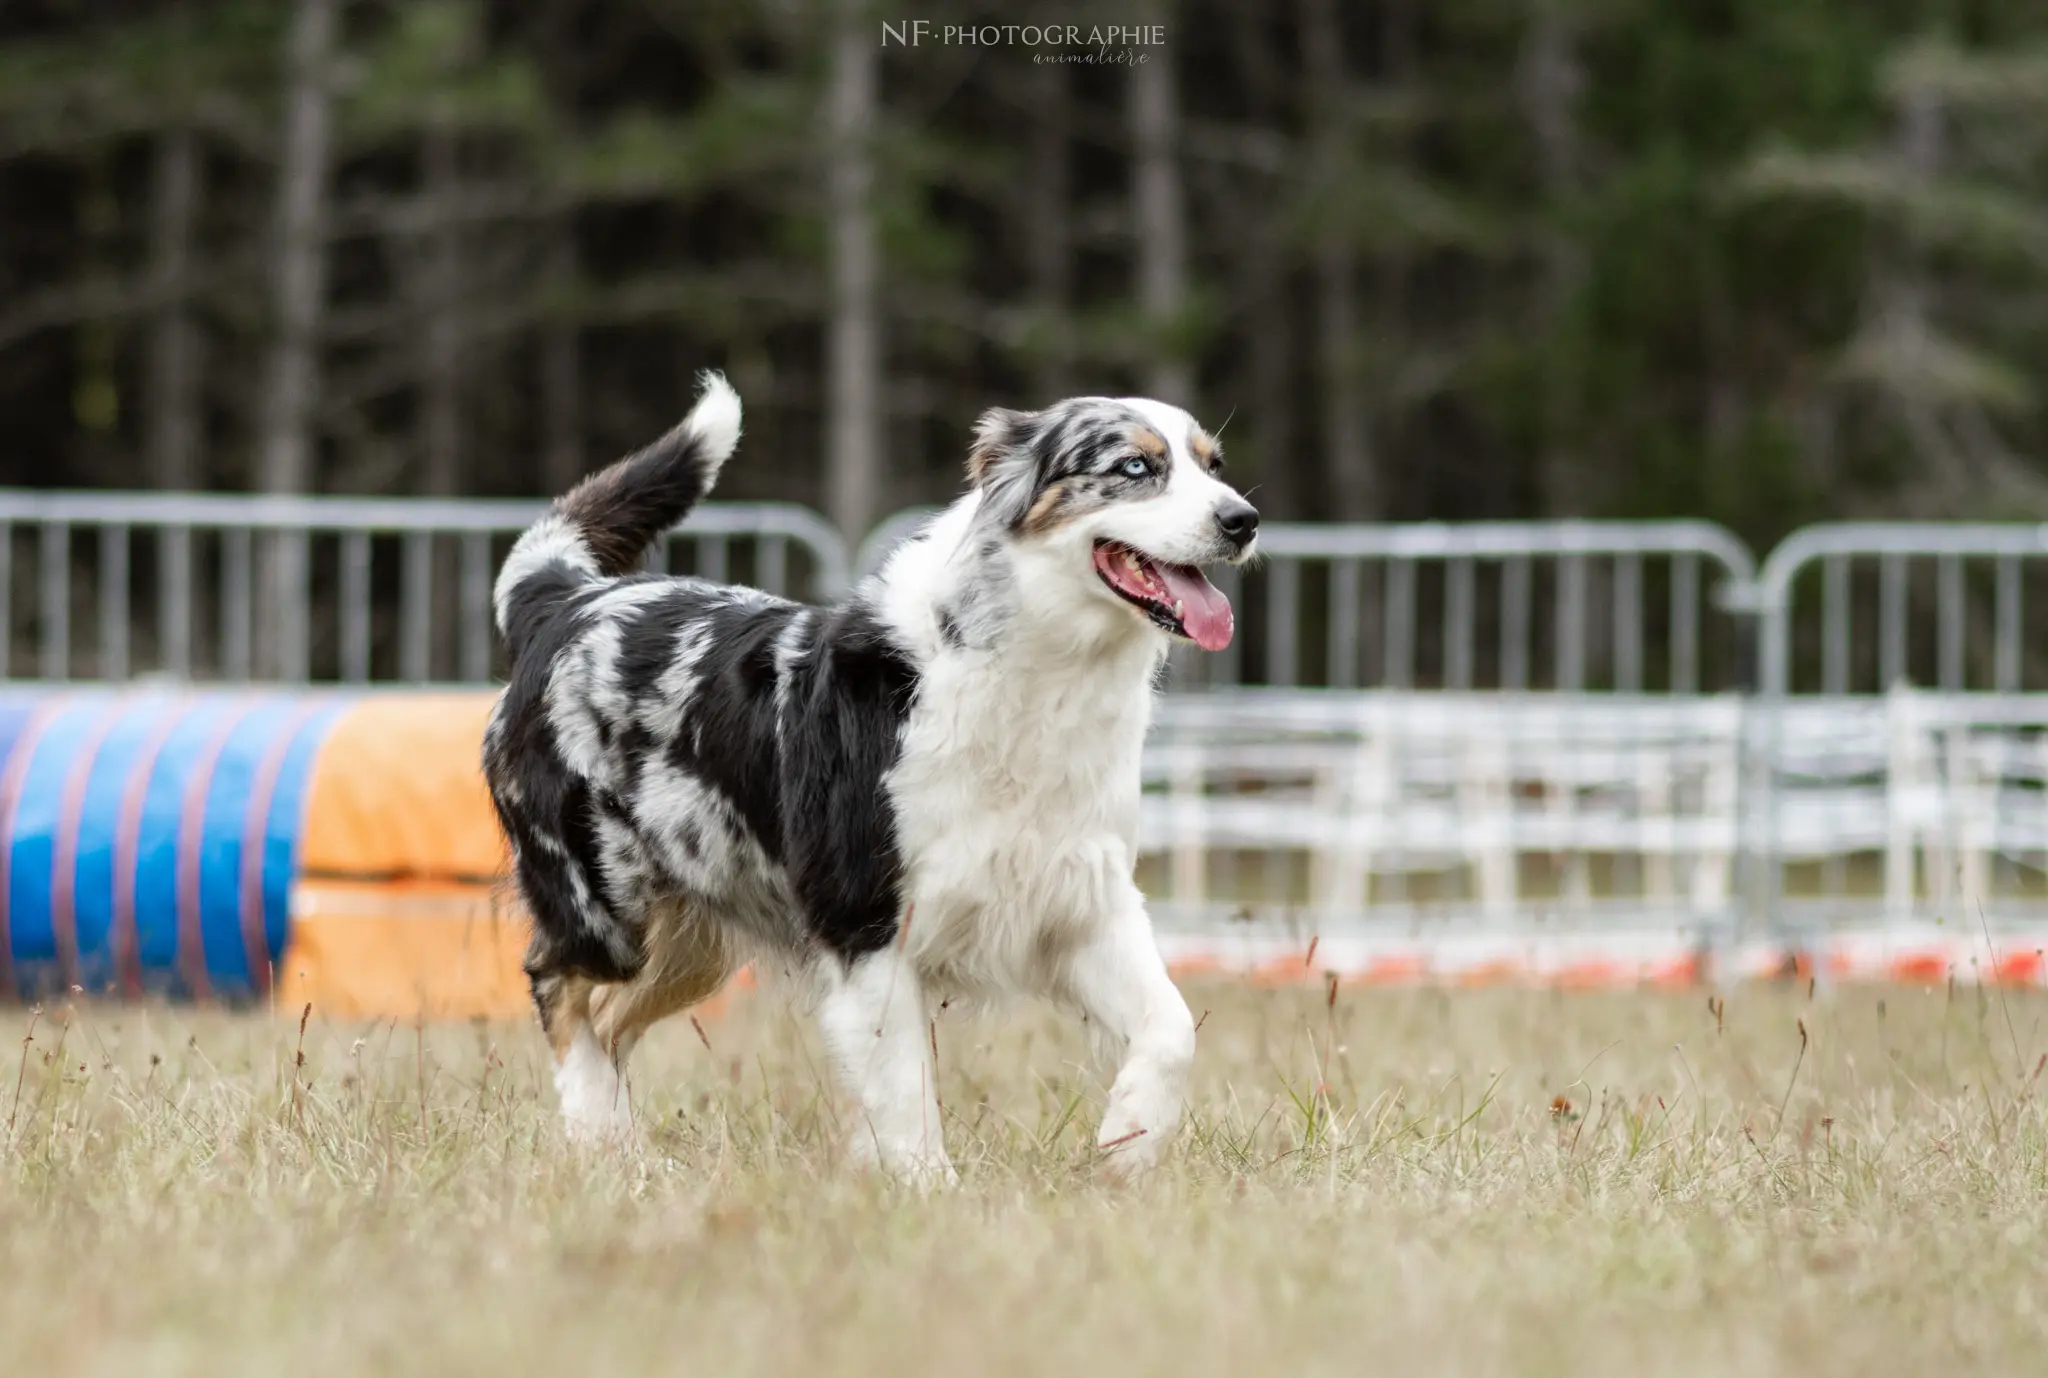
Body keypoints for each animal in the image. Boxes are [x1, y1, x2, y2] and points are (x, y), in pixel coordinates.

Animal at [487, 370, 1253, 1179]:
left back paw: (624, 1154)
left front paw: (1128, 1143)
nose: (1244, 520)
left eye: (1214, 465)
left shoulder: (1081, 901)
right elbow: (903, 1085)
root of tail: (566, 599)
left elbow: (1172, 1027)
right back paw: (596, 1137)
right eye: (1135, 467)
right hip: (605, 905)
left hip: (694, 937)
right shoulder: (868, 919)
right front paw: (926, 1187)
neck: (1035, 671)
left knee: (608, 1020)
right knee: (558, 986)